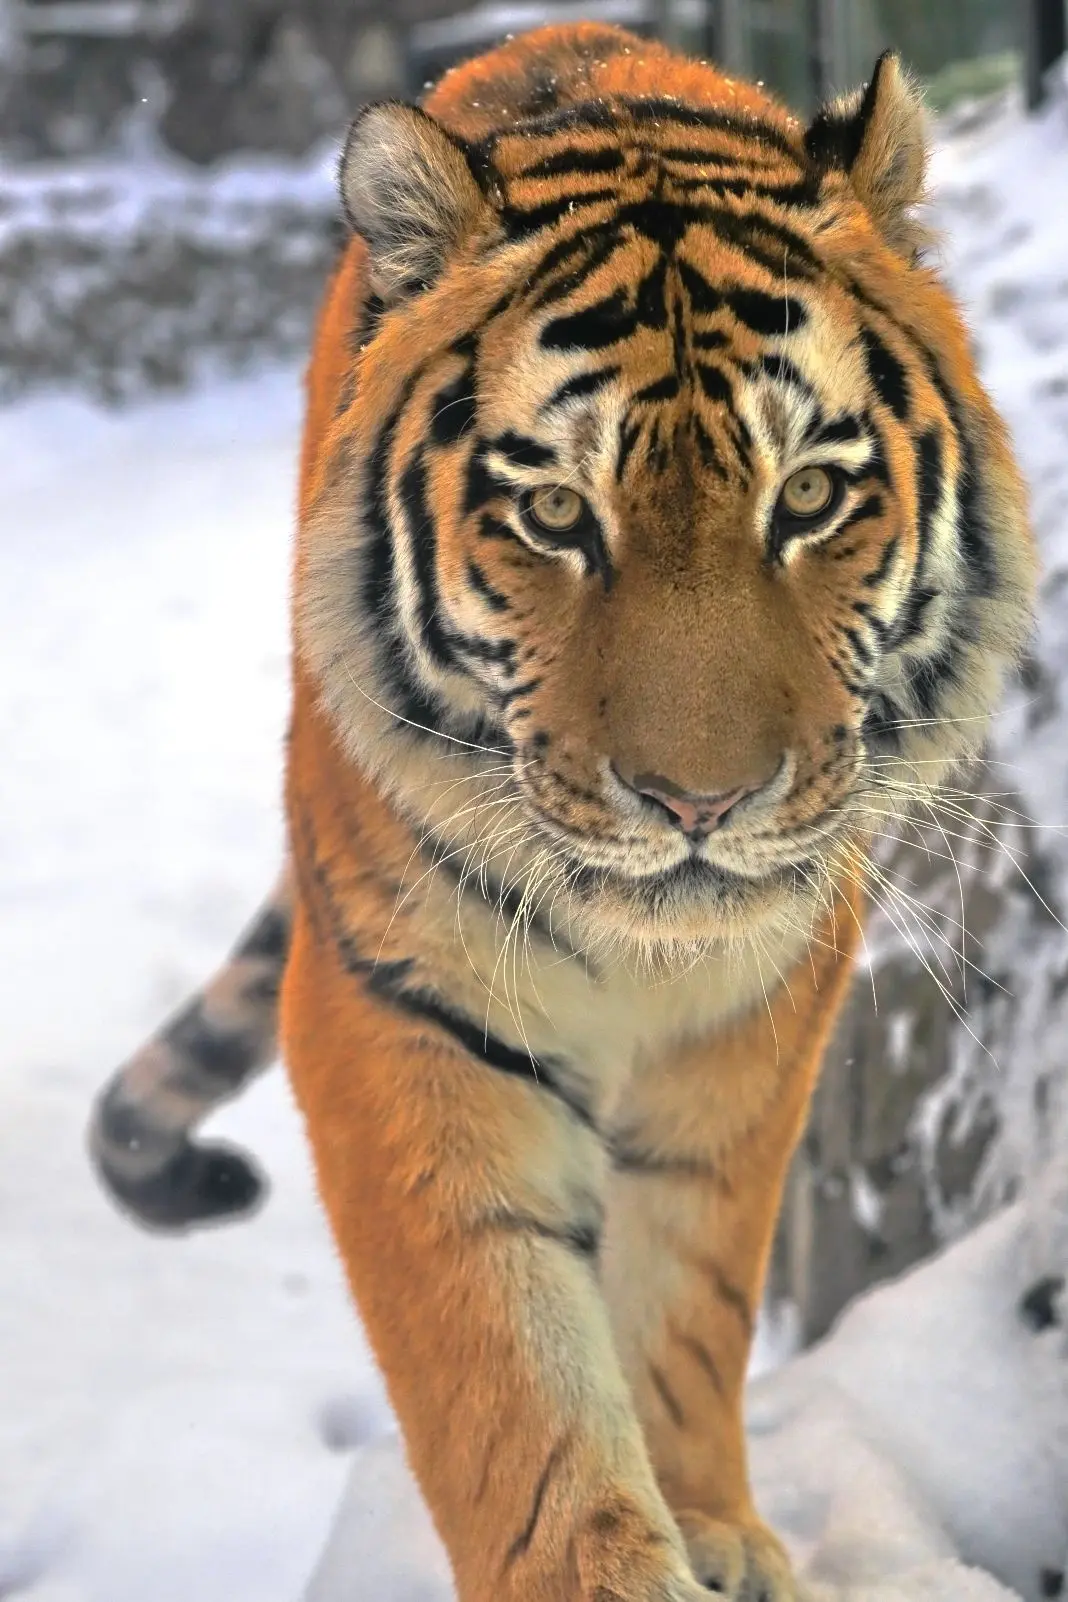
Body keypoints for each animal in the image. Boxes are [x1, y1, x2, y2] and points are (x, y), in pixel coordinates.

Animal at [88, 22, 1037, 1601]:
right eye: (553, 517)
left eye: (810, 497)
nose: (702, 799)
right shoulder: (394, 1009)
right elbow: (508, 1375)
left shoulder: (759, 1017)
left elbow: (692, 1294)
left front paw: (715, 1530)